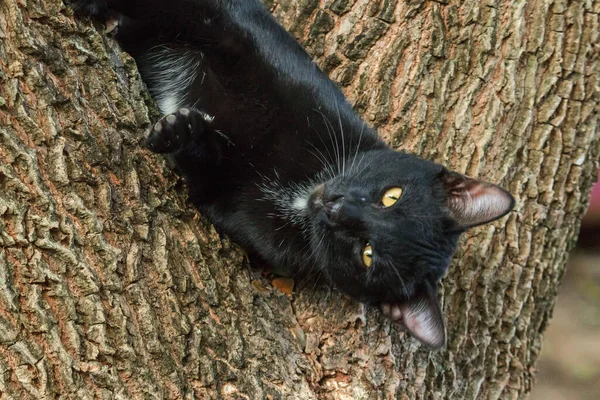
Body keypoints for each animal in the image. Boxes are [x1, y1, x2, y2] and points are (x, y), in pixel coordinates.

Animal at [71, 0, 516, 348]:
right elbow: (194, 14)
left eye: (367, 254)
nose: (337, 210)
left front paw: (179, 130)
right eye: (392, 196)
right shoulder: (244, 39)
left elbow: (205, 164)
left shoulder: (228, 202)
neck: (302, 188)